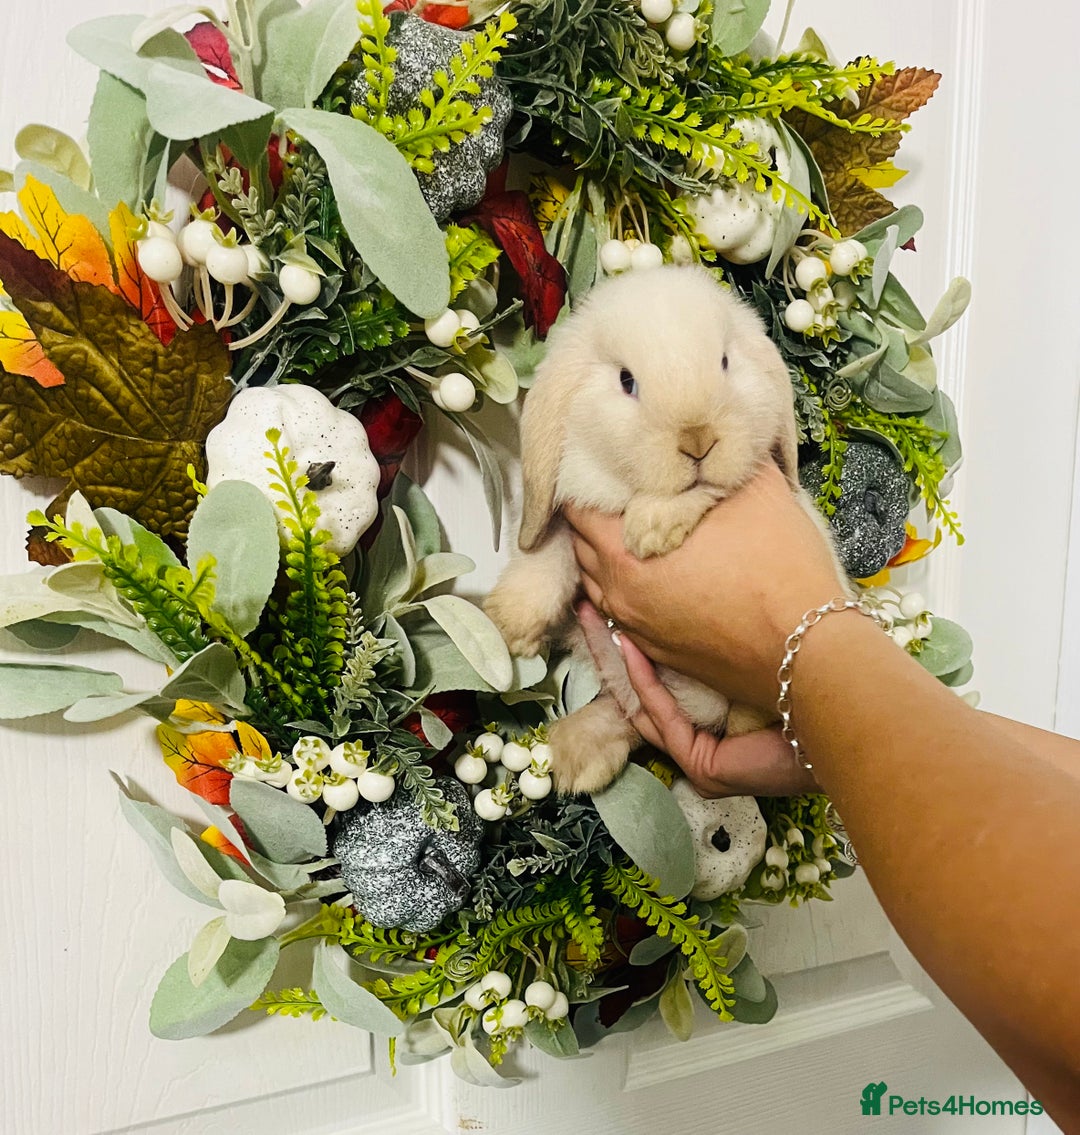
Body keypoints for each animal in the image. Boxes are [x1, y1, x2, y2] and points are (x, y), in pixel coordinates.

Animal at [484, 264, 845, 794]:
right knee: (626, 711)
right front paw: (512, 627)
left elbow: (713, 487)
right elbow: (548, 553)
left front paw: (649, 529)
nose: (698, 441)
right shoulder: (575, 511)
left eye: (724, 362)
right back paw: (576, 754)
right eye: (626, 380)